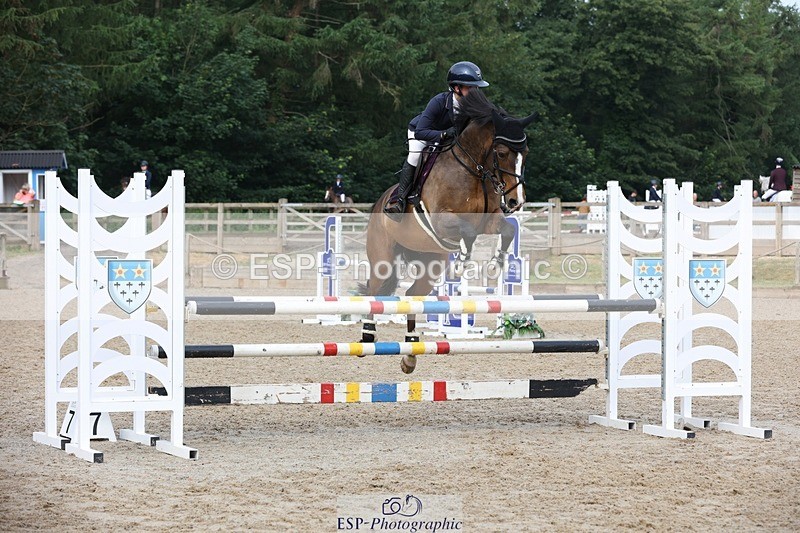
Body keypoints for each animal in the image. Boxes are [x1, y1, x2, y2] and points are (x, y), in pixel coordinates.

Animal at [360, 89, 537, 374]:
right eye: (500, 153)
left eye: (526, 153)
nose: (515, 202)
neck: (472, 168)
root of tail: (380, 201)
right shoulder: (443, 221)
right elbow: (467, 232)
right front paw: (463, 259)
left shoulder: (489, 221)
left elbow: (508, 229)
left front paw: (495, 264)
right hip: (383, 258)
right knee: (374, 291)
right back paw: (367, 335)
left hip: (430, 263)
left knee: (411, 295)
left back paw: (410, 352)